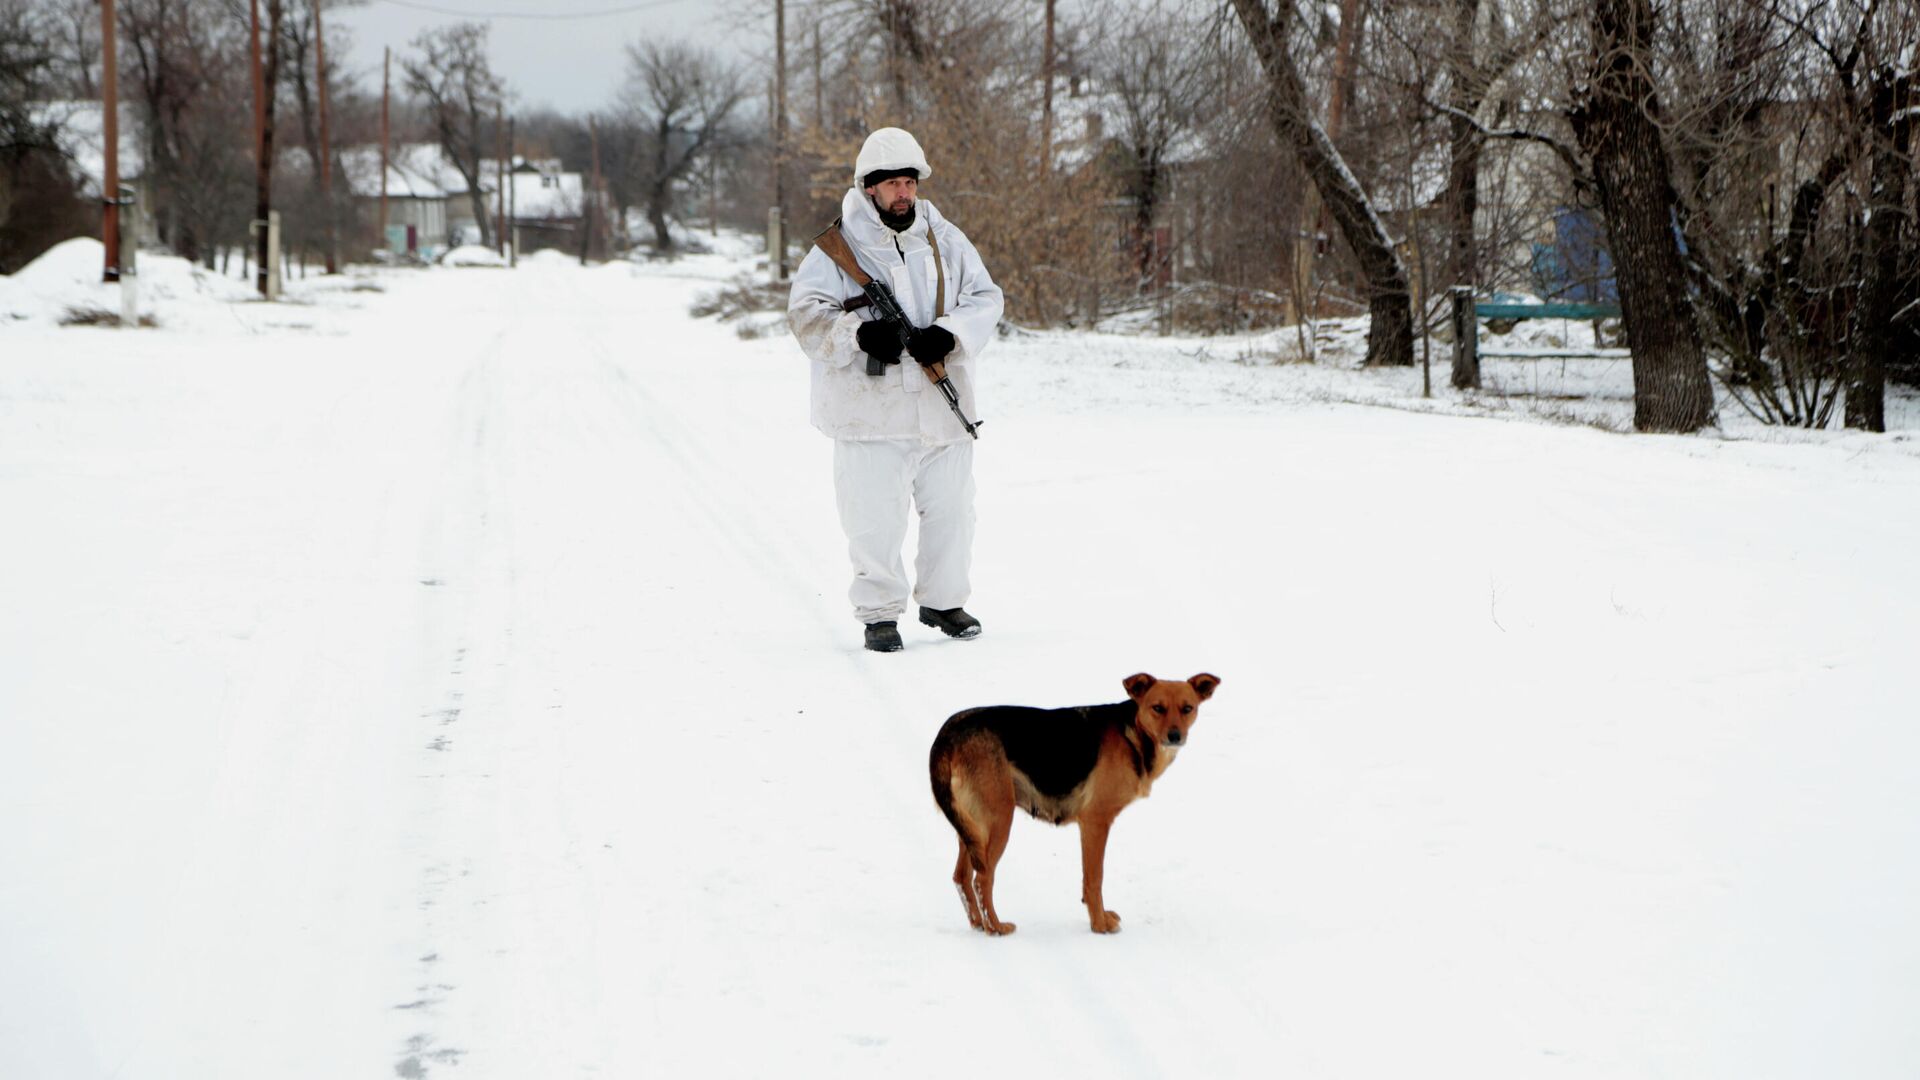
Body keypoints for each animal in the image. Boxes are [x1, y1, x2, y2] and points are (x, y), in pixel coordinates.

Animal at [925, 668, 1213, 930]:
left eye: (1187, 708)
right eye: (1157, 708)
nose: (1175, 737)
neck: (1133, 732)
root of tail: (946, 735)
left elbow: (1089, 881)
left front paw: (1100, 917)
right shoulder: (1096, 822)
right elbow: (1095, 879)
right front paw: (1099, 925)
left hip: (971, 826)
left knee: (961, 877)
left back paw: (978, 925)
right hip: (998, 819)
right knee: (982, 879)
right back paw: (996, 927)